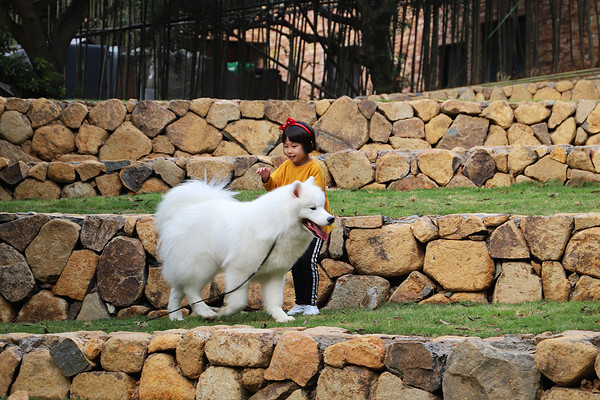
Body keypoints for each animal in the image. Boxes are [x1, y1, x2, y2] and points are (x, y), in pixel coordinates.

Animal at [155, 177, 336, 324]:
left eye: (322, 206)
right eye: (312, 208)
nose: (331, 218)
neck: (278, 226)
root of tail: (181, 212)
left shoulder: (275, 274)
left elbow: (275, 299)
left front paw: (281, 317)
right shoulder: (239, 270)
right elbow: (239, 301)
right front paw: (225, 311)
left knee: (177, 290)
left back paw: (175, 318)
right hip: (202, 266)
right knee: (191, 291)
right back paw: (206, 313)